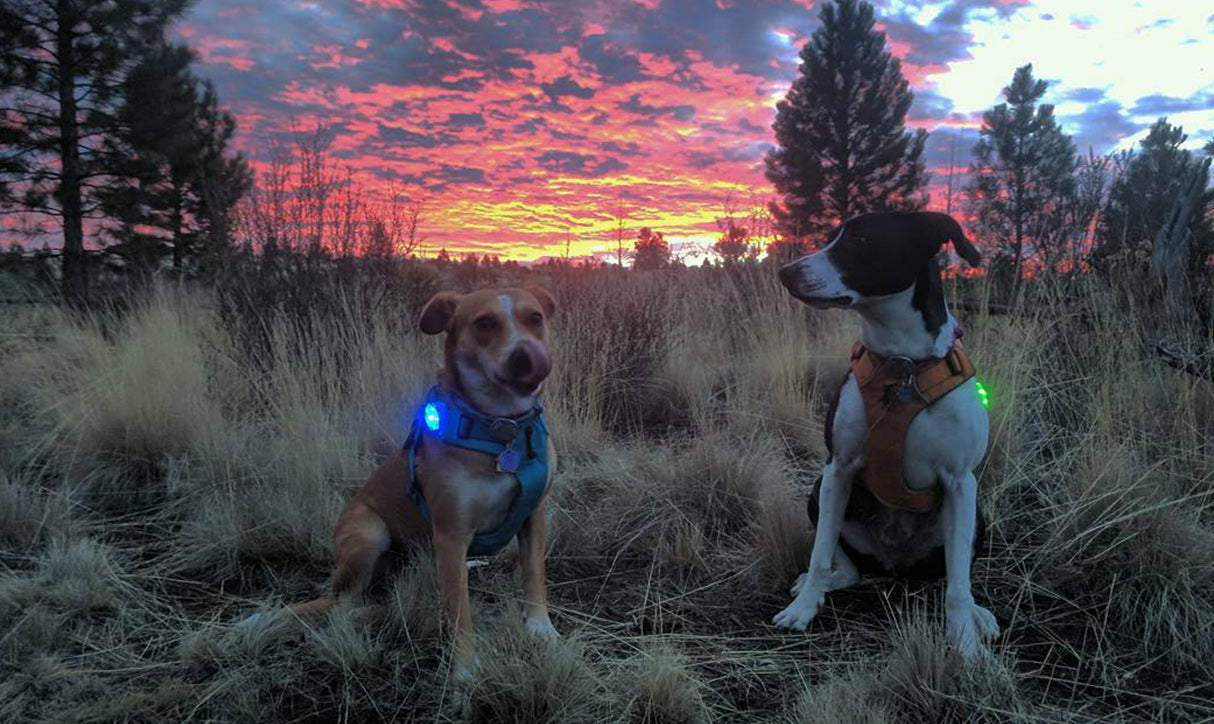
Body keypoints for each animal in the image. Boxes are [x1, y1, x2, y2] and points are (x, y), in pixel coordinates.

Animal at [251, 286, 563, 680]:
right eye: (484, 323)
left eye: (534, 318)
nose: (529, 357)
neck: (500, 430)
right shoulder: (451, 534)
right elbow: (458, 610)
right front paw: (464, 669)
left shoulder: (533, 513)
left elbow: (534, 575)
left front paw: (541, 628)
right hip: (368, 534)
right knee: (343, 602)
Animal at [772, 212, 1000, 660]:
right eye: (831, 238)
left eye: (860, 241)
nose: (786, 272)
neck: (902, 366)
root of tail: (894, 564)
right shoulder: (837, 470)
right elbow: (820, 552)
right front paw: (803, 608)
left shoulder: (960, 481)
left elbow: (959, 585)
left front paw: (965, 643)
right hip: (818, 492)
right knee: (848, 567)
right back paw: (819, 584)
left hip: (976, 516)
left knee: (954, 574)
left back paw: (979, 615)